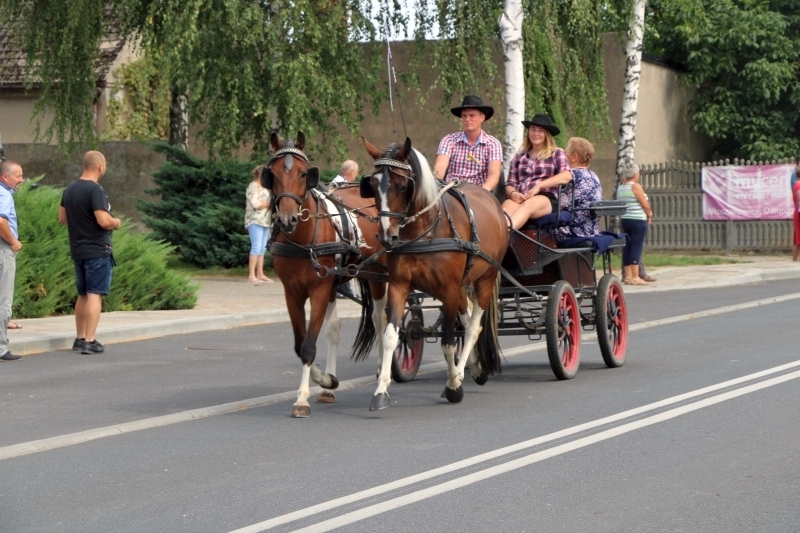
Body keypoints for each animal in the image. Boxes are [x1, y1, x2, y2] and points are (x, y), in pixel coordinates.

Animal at [264, 131, 388, 418]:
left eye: (303, 173)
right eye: (271, 174)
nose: (287, 220)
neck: (303, 238)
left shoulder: (318, 289)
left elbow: (309, 345)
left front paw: (302, 399)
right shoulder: (293, 292)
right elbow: (300, 344)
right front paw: (326, 380)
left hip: (378, 276)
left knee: (379, 320)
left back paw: (381, 372)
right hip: (337, 283)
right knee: (335, 329)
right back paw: (329, 389)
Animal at [360, 137, 509, 410]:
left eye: (402, 186)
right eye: (373, 186)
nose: (386, 237)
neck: (426, 230)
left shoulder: (448, 290)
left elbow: (448, 341)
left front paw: (453, 388)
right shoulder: (398, 285)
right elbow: (390, 336)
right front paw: (380, 391)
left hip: (485, 278)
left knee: (473, 326)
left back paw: (460, 374)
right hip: (461, 286)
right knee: (467, 319)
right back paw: (472, 368)